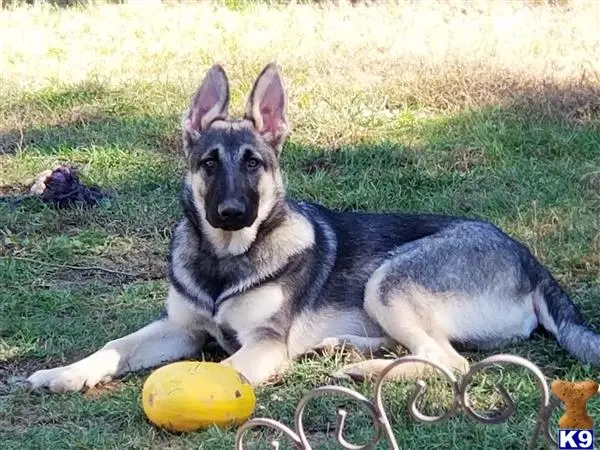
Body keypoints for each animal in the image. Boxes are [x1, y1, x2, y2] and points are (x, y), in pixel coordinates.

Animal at [28, 63, 600, 394]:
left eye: (253, 163)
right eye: (209, 163)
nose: (231, 213)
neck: (225, 259)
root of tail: (528, 256)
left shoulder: (263, 343)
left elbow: (226, 371)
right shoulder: (180, 328)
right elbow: (115, 347)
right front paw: (66, 373)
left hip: (389, 281)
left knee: (450, 362)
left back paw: (364, 371)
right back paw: (346, 349)